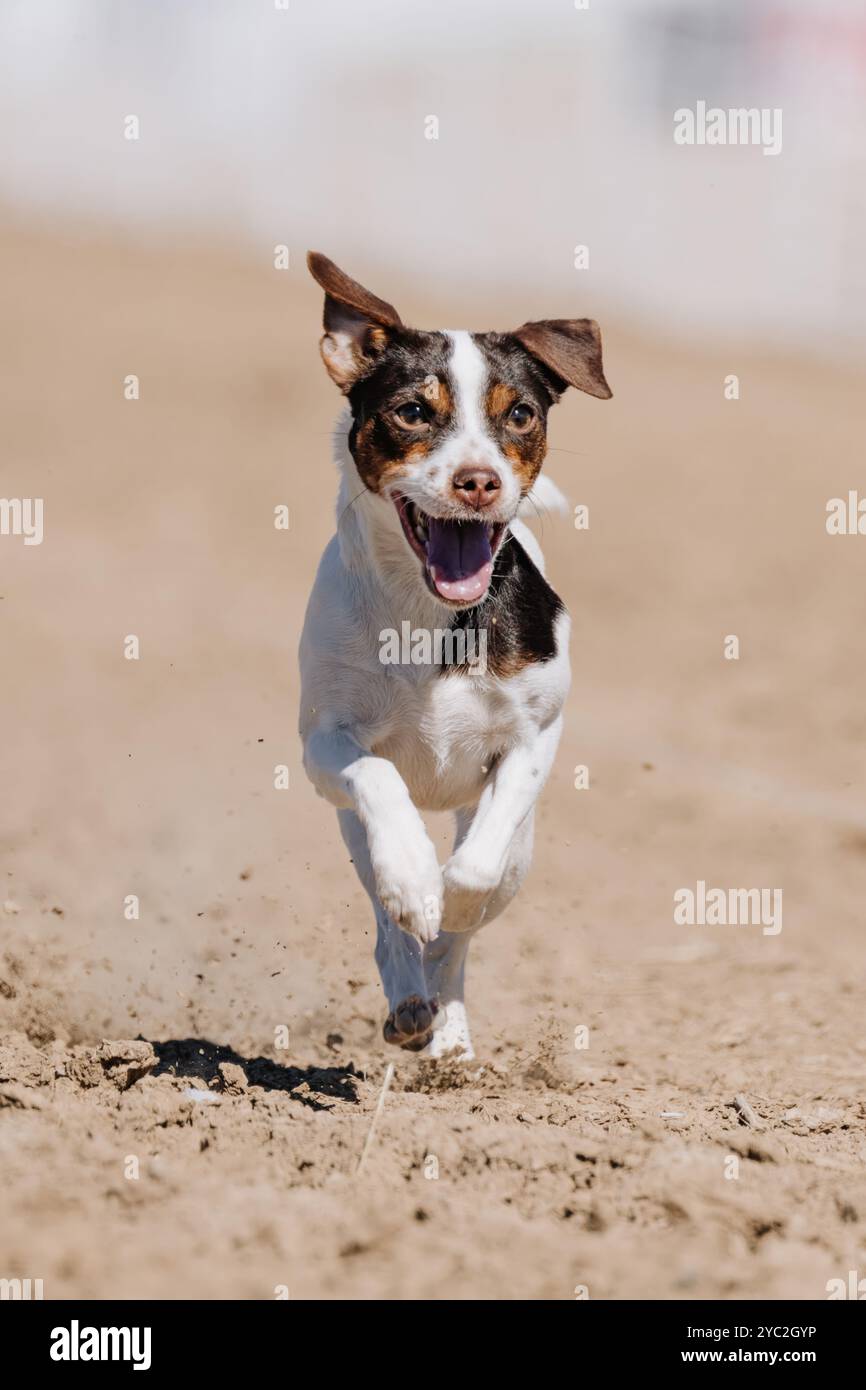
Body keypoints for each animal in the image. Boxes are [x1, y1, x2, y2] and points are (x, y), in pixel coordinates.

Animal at [301, 255, 614, 1056]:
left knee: (468, 921)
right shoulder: (322, 745)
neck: (428, 617)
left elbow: (475, 871)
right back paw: (411, 996)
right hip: (349, 831)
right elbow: (378, 778)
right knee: (384, 920)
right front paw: (416, 880)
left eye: (521, 414)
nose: (479, 481)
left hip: (522, 851)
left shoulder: (535, 739)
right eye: (413, 411)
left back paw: (446, 1026)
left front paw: (452, 902)